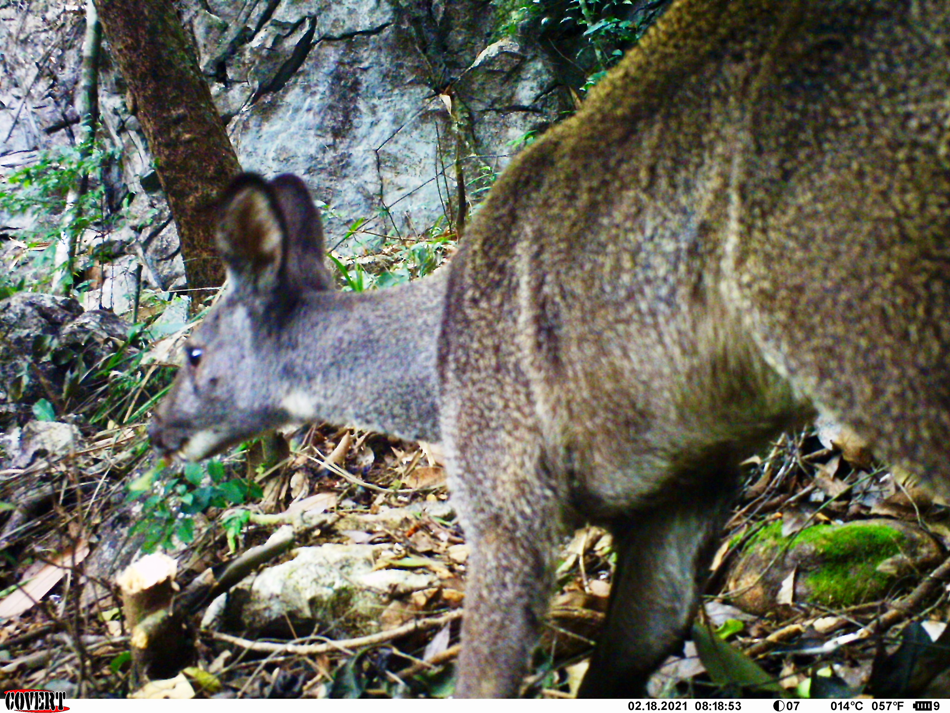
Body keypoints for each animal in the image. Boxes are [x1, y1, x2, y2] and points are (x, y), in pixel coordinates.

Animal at [149, 0, 950, 696]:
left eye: (194, 353)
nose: (158, 428)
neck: (432, 371)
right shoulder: (687, 487)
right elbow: (635, 640)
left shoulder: (507, 491)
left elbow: (486, 677)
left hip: (845, 302)